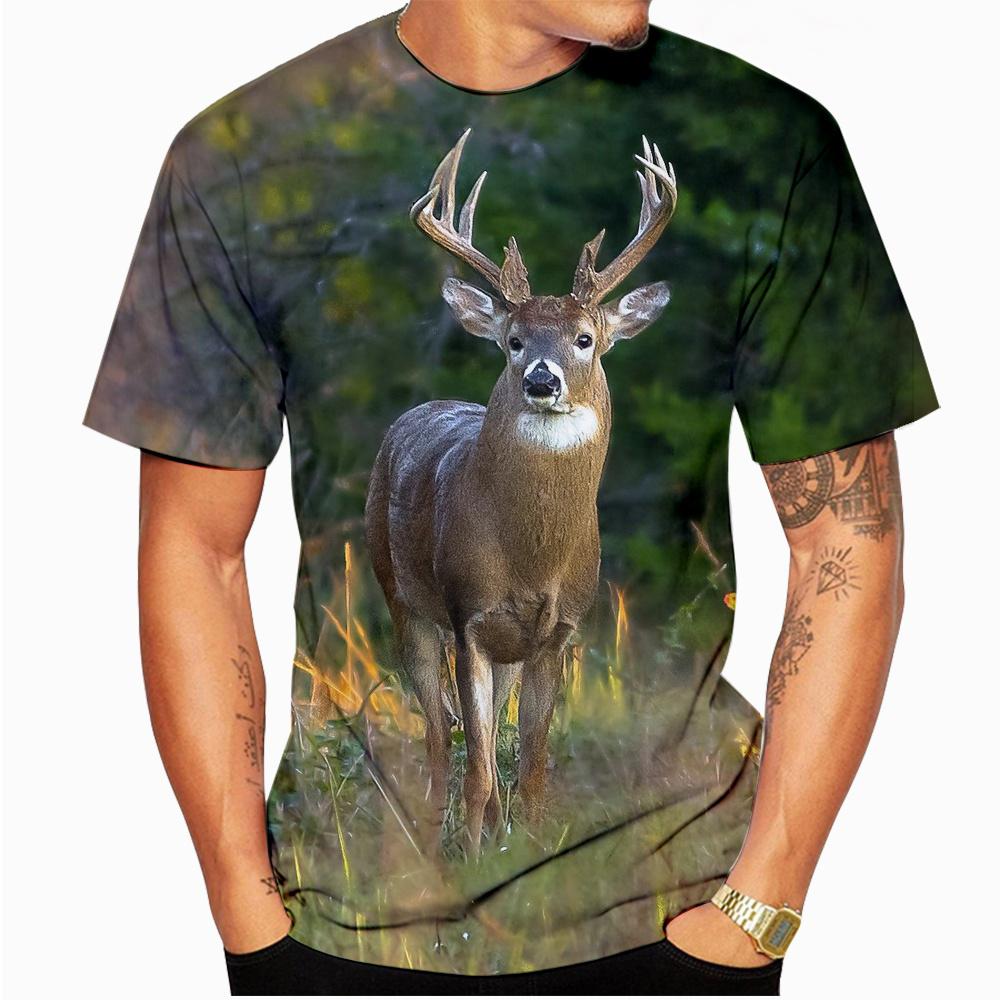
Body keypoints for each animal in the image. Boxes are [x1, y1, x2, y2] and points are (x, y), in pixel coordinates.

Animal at [364, 127, 677, 853]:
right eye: (511, 340)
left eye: (585, 338)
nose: (540, 378)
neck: (532, 555)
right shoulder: (468, 617)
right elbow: (479, 766)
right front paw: (480, 858)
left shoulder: (558, 632)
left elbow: (531, 765)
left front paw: (531, 851)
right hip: (403, 600)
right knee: (436, 734)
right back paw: (432, 843)